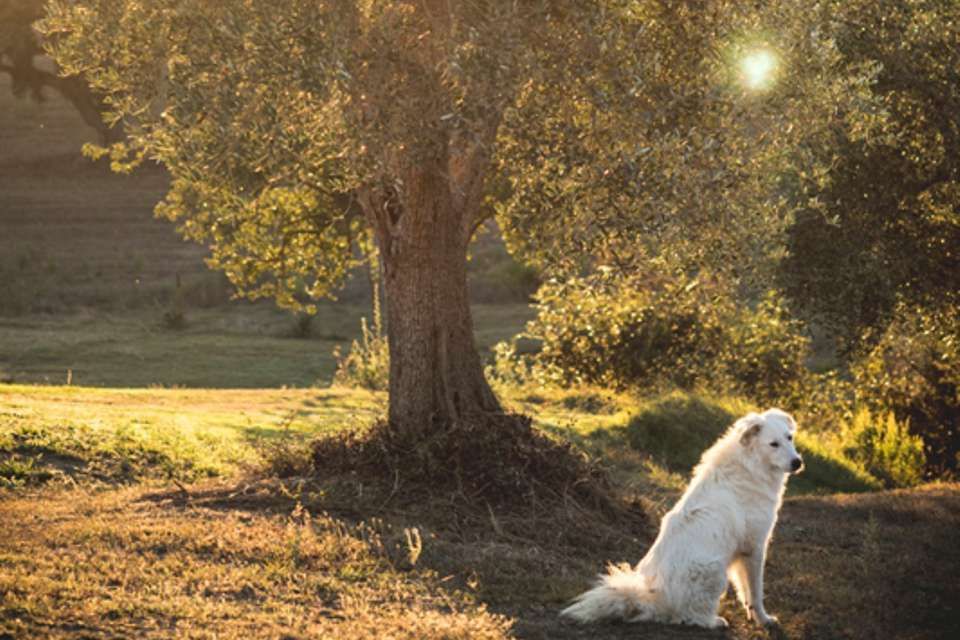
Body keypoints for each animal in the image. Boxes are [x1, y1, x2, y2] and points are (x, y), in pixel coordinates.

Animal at [564, 408, 804, 628]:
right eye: (773, 444)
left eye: (789, 438)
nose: (798, 462)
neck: (749, 466)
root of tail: (655, 598)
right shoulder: (754, 547)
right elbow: (756, 591)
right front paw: (764, 619)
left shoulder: (741, 554)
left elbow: (745, 592)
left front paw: (753, 615)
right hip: (715, 571)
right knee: (689, 616)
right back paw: (715, 621)